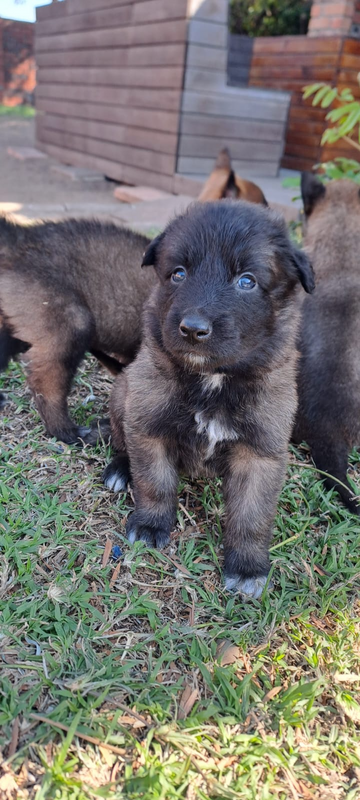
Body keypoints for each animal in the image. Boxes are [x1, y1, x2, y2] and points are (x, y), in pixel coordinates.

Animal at [105, 203, 316, 596]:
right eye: (178, 274)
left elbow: (252, 515)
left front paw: (247, 567)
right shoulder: (148, 425)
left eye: (247, 281)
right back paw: (120, 469)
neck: (214, 380)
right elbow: (154, 482)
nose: (192, 329)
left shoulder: (260, 453)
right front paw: (151, 525)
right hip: (123, 391)